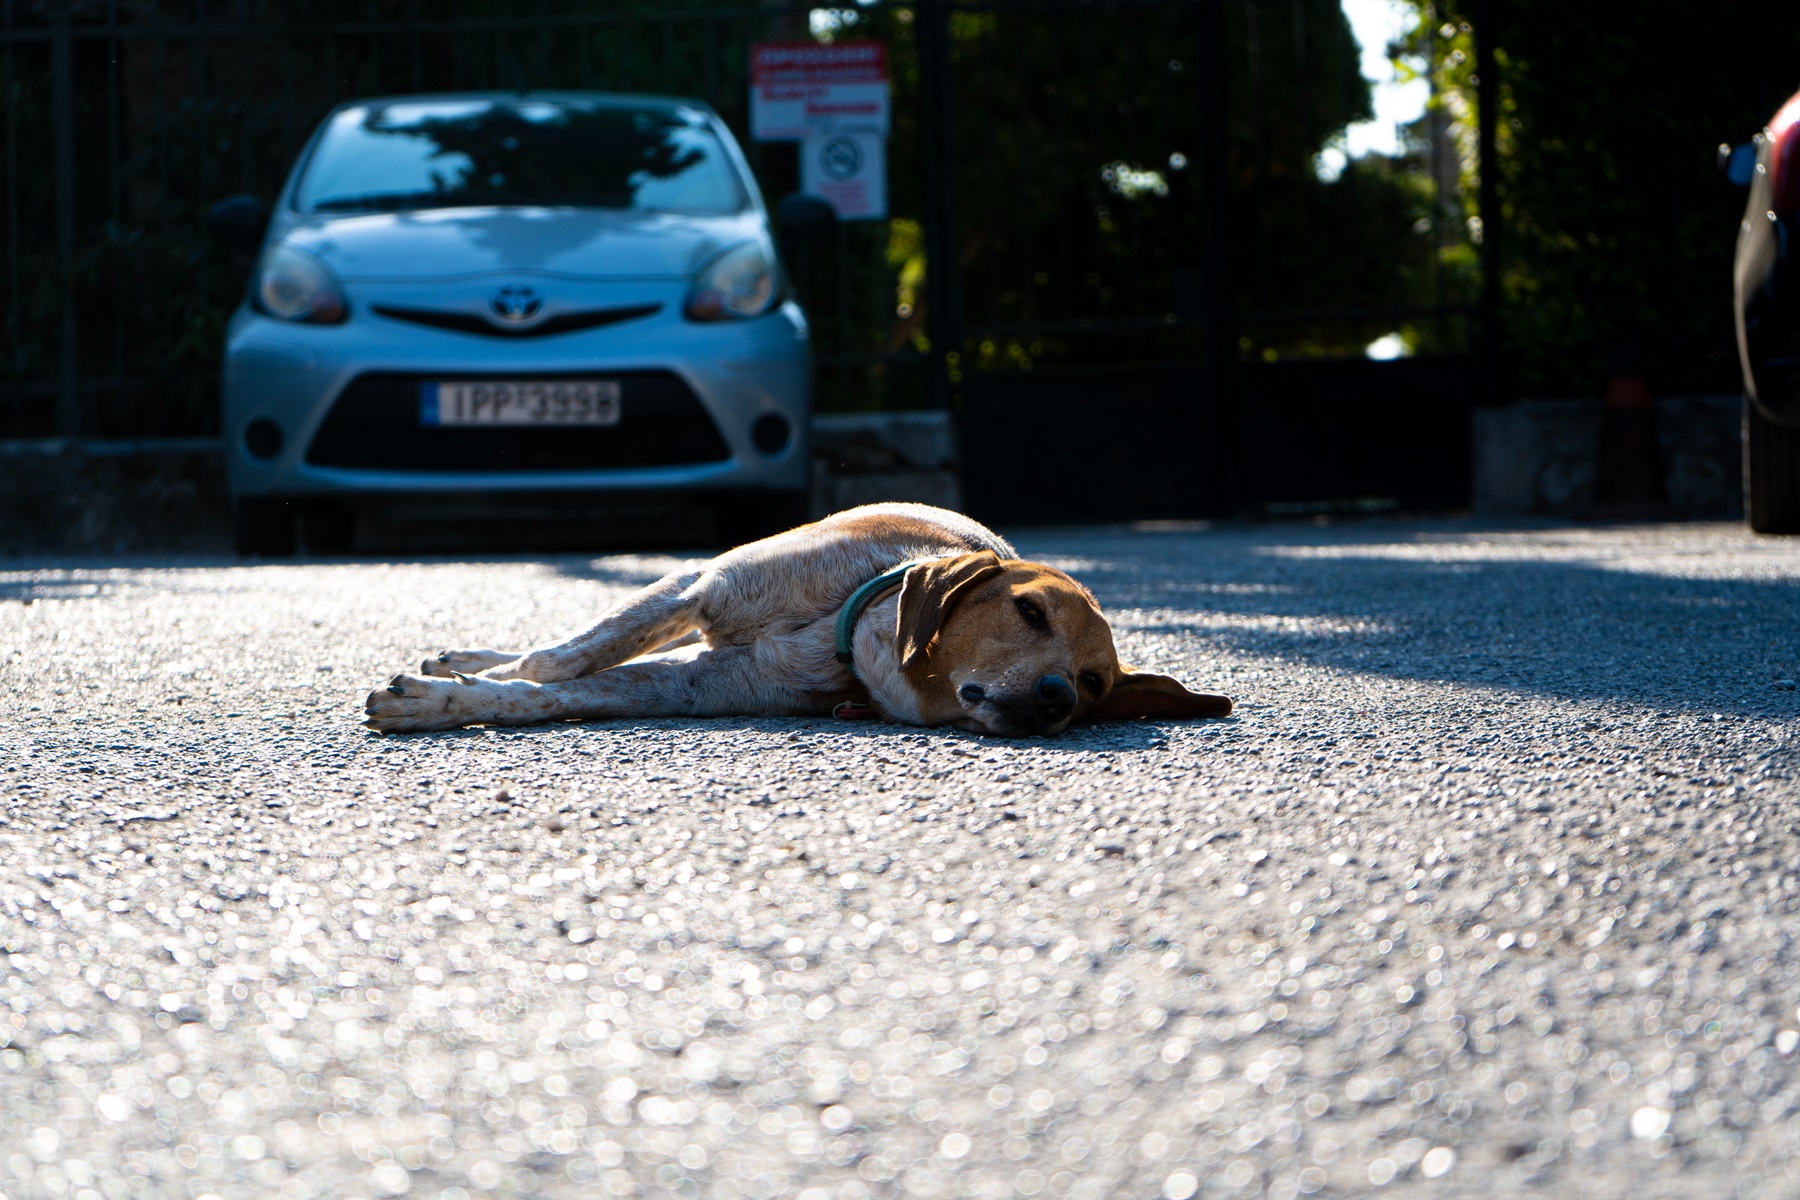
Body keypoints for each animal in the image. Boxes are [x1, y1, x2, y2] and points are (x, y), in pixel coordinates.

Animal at [358, 503, 1231, 737]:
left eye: (1096, 683)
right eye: (1028, 609)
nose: (1058, 699)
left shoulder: (699, 683)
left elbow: (564, 689)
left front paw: (452, 700)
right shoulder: (698, 588)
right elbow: (554, 664)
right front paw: (456, 688)